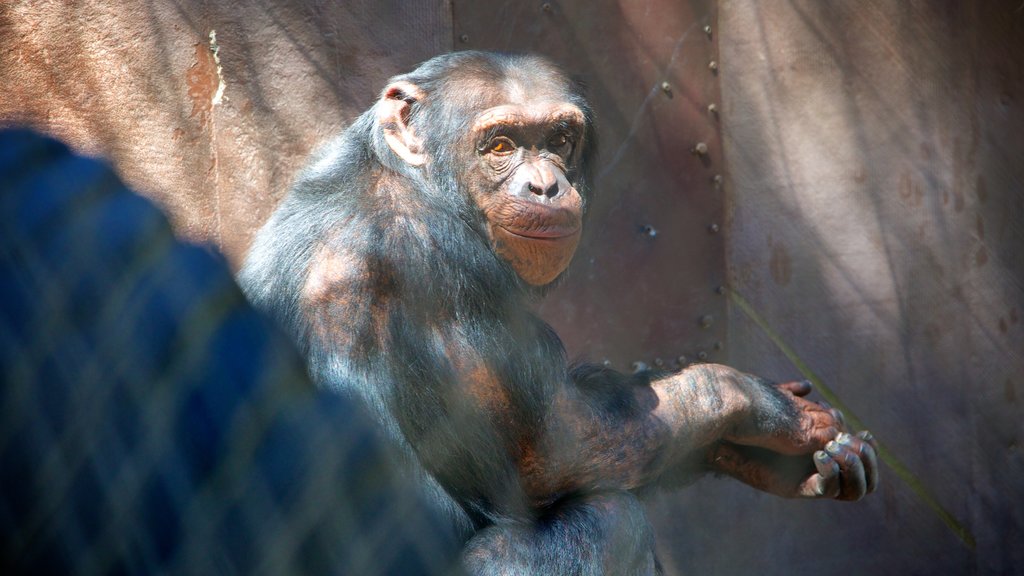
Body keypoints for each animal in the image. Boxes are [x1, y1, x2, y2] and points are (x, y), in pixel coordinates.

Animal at [235, 51, 876, 569]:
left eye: (560, 140)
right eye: (500, 145)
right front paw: (763, 406)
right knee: (611, 519)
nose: (545, 185)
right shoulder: (441, 267)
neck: (414, 184)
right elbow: (554, 449)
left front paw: (779, 457)